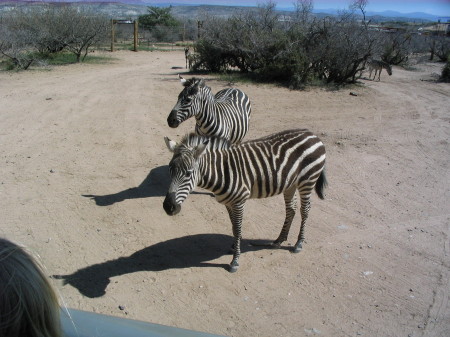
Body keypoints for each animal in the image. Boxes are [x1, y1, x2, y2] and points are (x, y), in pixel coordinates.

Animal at [163, 127, 326, 272]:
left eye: (188, 173)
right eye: (170, 169)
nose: (168, 207)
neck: (222, 171)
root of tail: (312, 134)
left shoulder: (239, 202)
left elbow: (238, 227)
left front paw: (235, 260)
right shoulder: (228, 203)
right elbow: (233, 226)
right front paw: (235, 246)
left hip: (307, 180)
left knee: (305, 210)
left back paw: (298, 243)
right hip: (291, 183)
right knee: (291, 209)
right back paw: (279, 239)